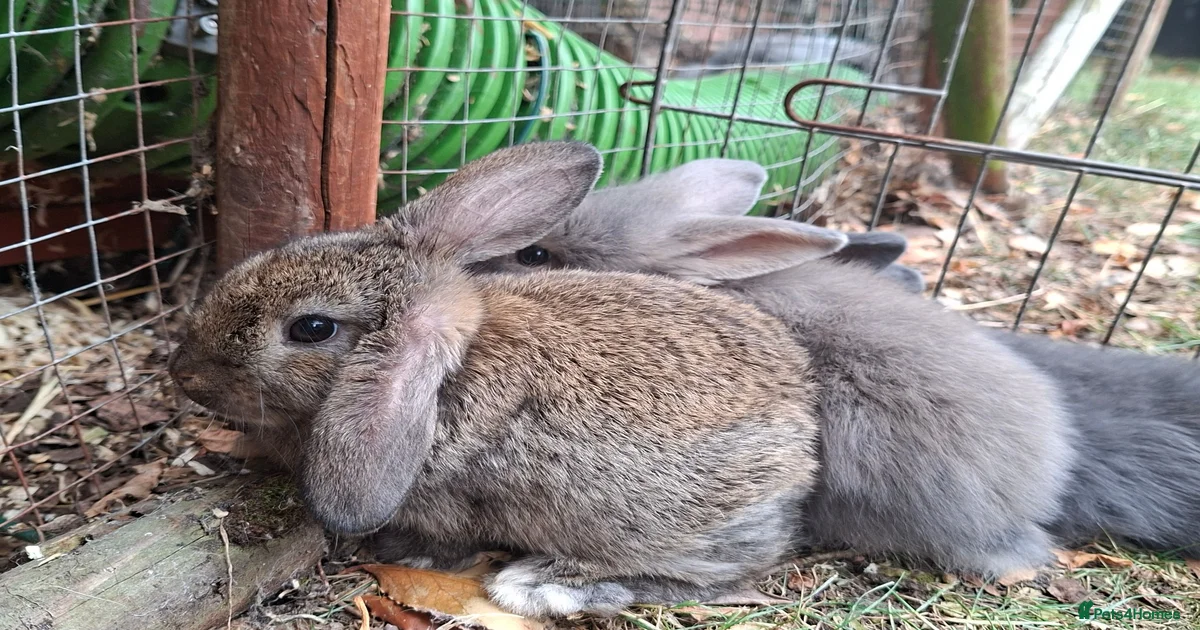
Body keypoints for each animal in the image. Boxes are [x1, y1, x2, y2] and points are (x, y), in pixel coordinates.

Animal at [167, 142, 828, 618]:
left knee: (714, 577)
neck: (449, 372)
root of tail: (804, 448)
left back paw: (543, 585)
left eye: (311, 328)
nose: (184, 373)